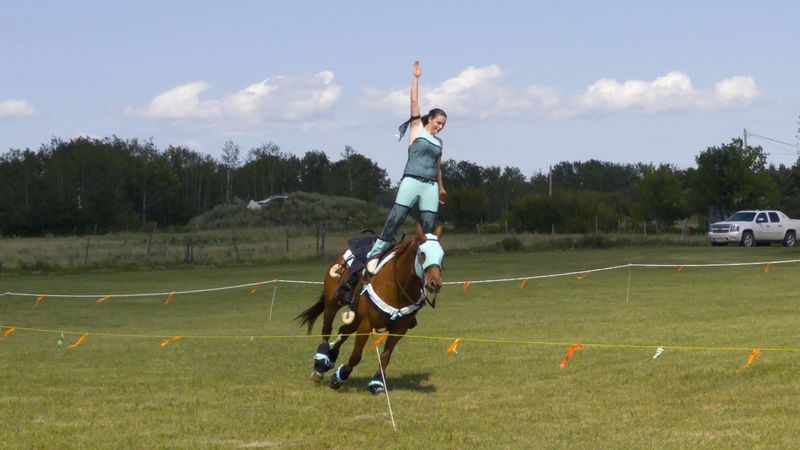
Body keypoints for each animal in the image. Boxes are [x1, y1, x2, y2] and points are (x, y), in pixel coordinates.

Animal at [296, 223, 444, 392]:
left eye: (442, 254)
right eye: (422, 253)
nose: (435, 284)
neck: (397, 286)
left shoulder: (399, 329)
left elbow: (385, 356)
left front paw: (377, 383)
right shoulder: (366, 324)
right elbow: (356, 355)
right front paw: (338, 378)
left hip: (355, 315)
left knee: (343, 331)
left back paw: (331, 356)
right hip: (332, 304)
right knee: (327, 330)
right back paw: (321, 365)